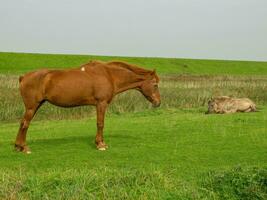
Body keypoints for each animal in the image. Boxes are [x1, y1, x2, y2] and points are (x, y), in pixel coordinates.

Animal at [14, 61, 161, 153]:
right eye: (155, 85)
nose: (158, 102)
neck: (108, 75)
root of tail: (23, 77)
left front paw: (101, 143)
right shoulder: (101, 103)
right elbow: (100, 123)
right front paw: (100, 145)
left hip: (36, 106)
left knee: (23, 123)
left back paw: (18, 147)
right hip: (32, 107)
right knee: (25, 124)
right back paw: (24, 148)